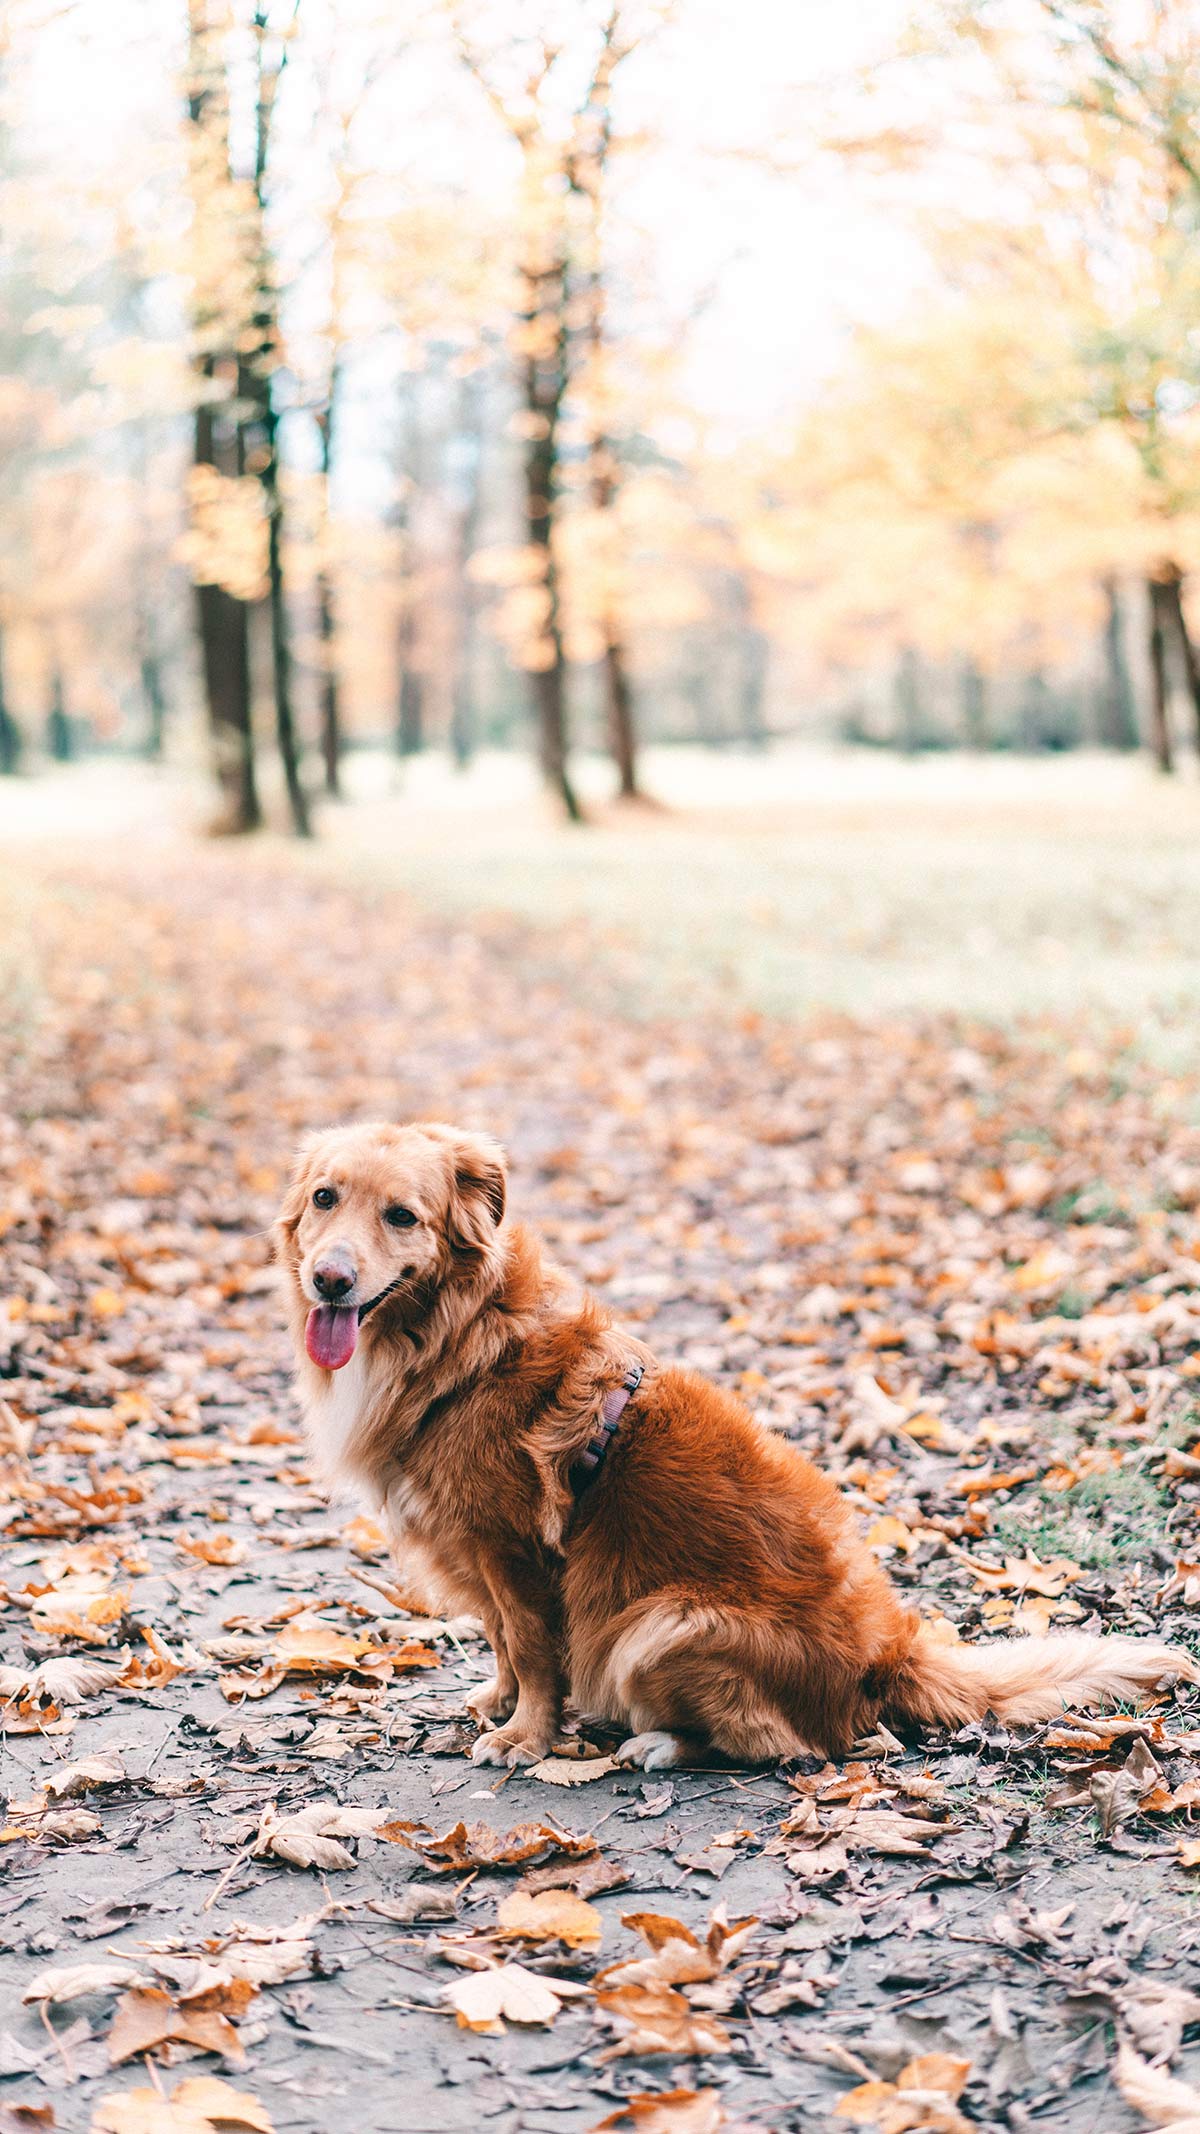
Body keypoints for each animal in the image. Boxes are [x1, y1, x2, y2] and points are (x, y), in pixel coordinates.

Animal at [273, 1118, 1195, 1766]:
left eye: (403, 1217)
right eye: (325, 1198)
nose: (330, 1279)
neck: (458, 1342)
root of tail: (887, 1654)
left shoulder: (517, 1552)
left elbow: (532, 1649)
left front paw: (527, 1736)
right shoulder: (479, 1551)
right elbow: (502, 1640)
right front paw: (499, 1703)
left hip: (655, 1624)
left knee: (784, 1749)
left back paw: (657, 1744)